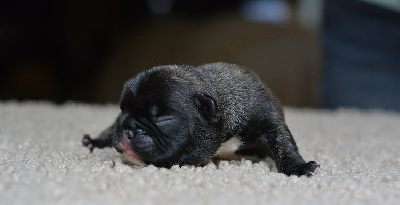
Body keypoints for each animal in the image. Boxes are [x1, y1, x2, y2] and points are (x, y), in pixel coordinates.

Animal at [83, 62, 320, 176]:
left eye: (161, 118)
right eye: (122, 110)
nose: (126, 128)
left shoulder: (268, 122)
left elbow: (283, 144)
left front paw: (297, 167)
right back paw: (95, 141)